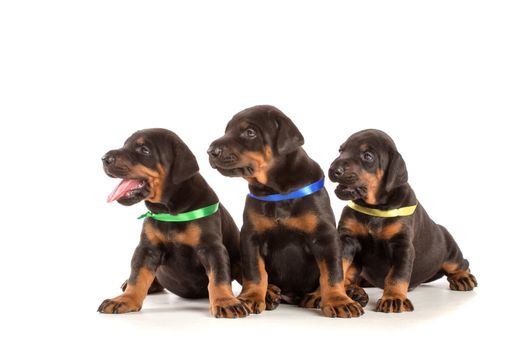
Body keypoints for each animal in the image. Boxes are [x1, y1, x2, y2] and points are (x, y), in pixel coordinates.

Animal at [98, 128, 250, 318]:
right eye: (124, 145)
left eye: (144, 150)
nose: (104, 158)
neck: (170, 211)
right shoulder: (147, 249)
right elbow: (137, 276)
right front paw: (125, 299)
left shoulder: (211, 248)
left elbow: (219, 276)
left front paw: (225, 302)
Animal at [207, 104, 362, 318]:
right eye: (227, 130)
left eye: (250, 132)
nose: (210, 151)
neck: (276, 191)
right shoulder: (251, 236)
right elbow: (255, 272)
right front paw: (251, 297)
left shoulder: (325, 236)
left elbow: (332, 272)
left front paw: (338, 300)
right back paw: (271, 294)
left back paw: (340, 294)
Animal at [330, 130, 476, 314]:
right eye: (341, 150)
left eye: (368, 156)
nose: (333, 170)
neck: (375, 208)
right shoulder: (347, 239)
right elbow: (340, 266)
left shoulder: (402, 245)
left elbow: (397, 276)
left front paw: (393, 298)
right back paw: (354, 291)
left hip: (448, 247)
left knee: (460, 263)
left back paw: (463, 278)